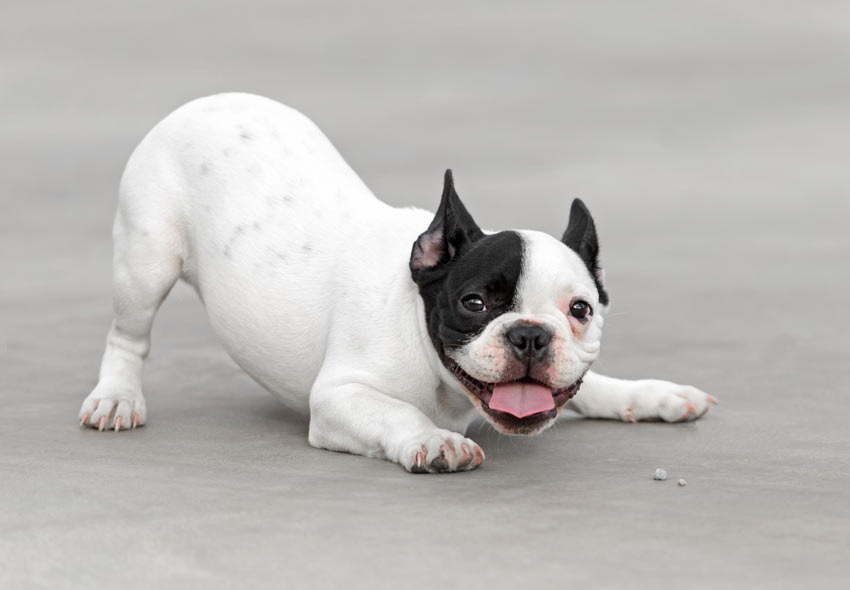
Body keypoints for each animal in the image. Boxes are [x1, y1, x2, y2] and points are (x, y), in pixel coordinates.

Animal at [81, 95, 716, 474]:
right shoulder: (338, 398)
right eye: (474, 303)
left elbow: (595, 384)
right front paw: (437, 442)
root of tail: (206, 101)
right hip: (145, 262)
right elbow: (396, 415)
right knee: (127, 338)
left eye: (579, 310)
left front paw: (653, 395)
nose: (531, 335)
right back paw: (118, 397)